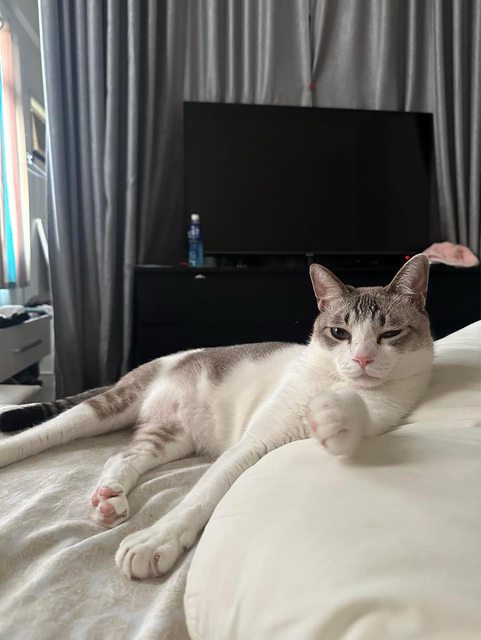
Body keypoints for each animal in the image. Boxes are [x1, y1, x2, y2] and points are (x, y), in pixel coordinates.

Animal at [0, 255, 433, 580]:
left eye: (390, 334)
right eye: (340, 333)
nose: (362, 359)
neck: (335, 381)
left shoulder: (380, 414)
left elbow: (354, 419)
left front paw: (333, 416)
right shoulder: (252, 443)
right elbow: (201, 495)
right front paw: (156, 541)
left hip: (170, 438)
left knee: (121, 457)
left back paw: (109, 498)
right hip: (106, 408)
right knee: (44, 433)